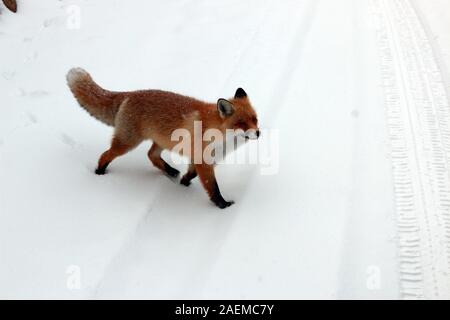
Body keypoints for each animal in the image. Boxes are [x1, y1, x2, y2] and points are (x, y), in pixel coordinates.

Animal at [67, 68, 260, 209]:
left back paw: (170, 171)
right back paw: (99, 172)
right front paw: (223, 205)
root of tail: (130, 93)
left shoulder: (200, 159)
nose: (258, 133)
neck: (220, 135)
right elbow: (212, 187)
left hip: (162, 142)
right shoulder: (203, 160)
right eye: (241, 123)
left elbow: (192, 174)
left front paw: (183, 183)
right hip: (127, 143)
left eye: (255, 119)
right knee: (105, 155)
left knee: (151, 155)